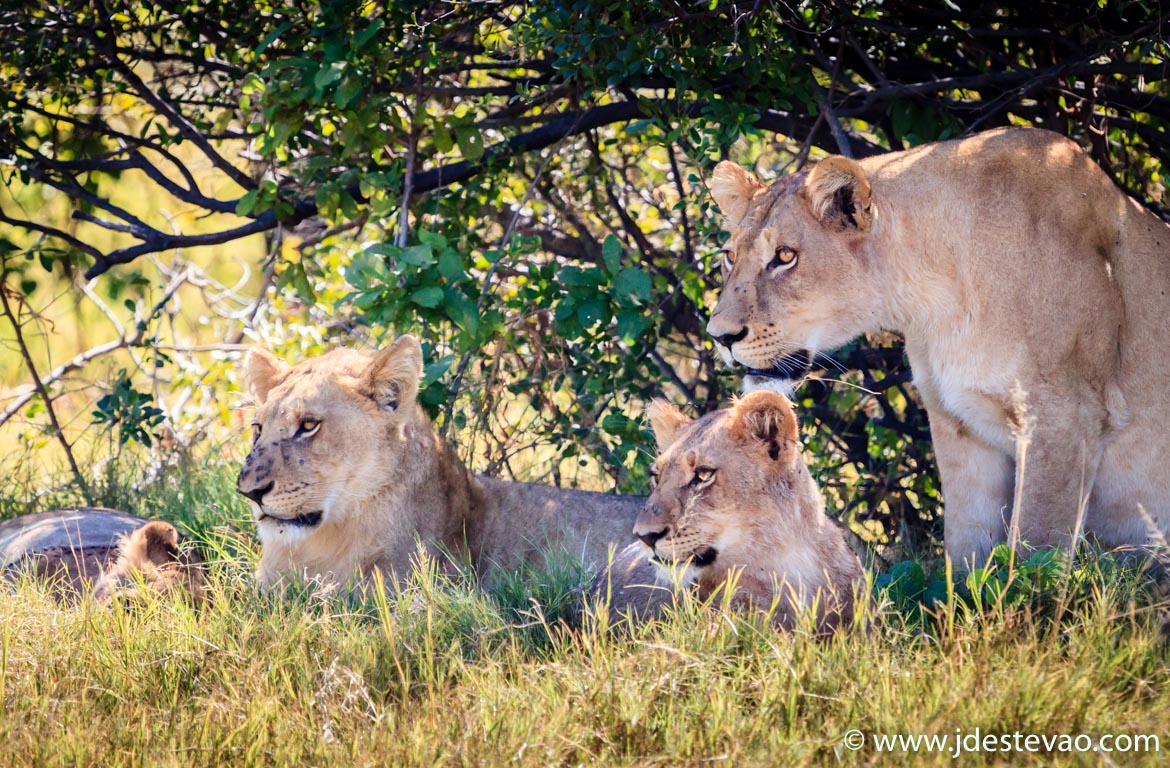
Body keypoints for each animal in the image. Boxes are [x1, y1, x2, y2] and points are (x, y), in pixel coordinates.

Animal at [702, 127, 1170, 568]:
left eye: (784, 256)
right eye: (729, 257)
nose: (719, 336)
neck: (934, 302)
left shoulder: (1066, 417)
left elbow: (1037, 551)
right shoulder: (957, 423)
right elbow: (966, 552)